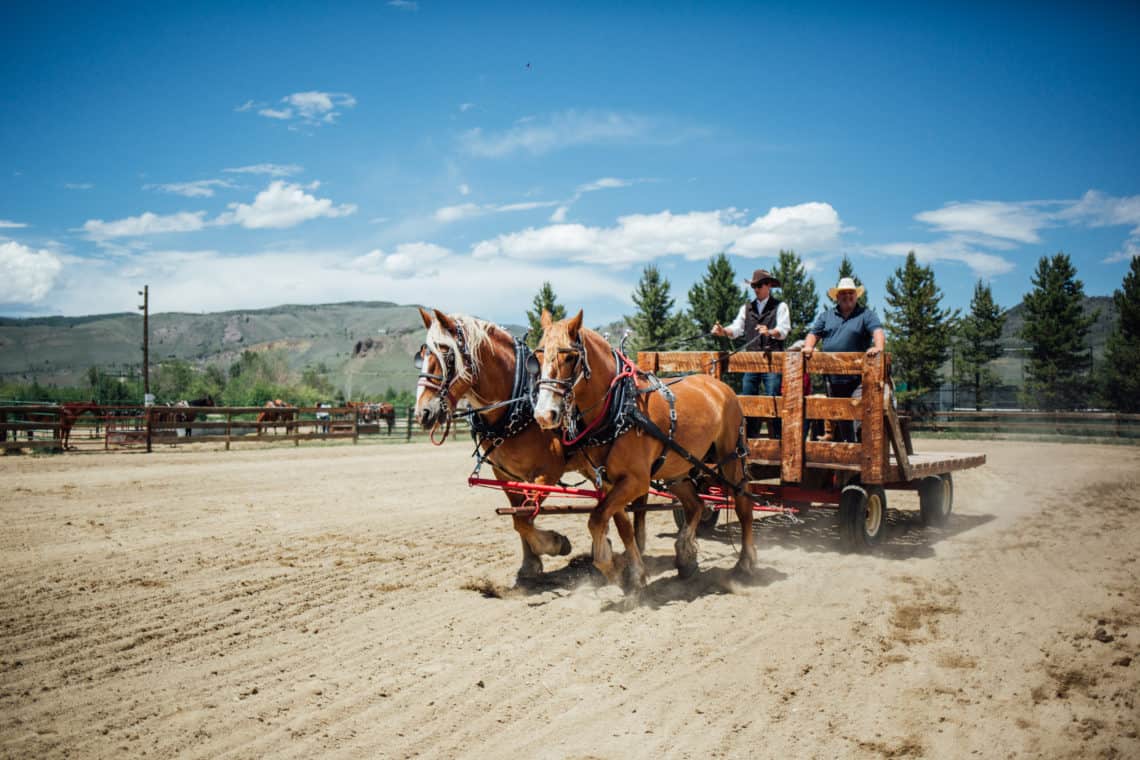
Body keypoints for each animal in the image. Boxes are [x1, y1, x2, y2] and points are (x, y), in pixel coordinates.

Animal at [533, 305, 756, 592]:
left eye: (571, 357)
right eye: (538, 355)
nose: (544, 415)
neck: (620, 407)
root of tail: (720, 386)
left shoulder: (637, 482)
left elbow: (597, 519)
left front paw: (611, 568)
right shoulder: (610, 482)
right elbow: (621, 526)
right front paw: (634, 573)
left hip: (731, 459)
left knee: (743, 504)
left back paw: (745, 563)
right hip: (678, 468)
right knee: (695, 505)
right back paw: (685, 558)